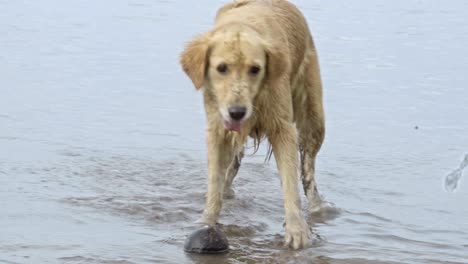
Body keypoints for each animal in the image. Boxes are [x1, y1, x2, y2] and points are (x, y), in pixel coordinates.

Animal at [180, 0, 326, 250]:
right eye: (221, 68)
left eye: (255, 69)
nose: (237, 112)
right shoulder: (217, 128)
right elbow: (214, 181)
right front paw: (206, 220)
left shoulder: (282, 127)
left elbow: (290, 183)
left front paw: (296, 230)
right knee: (231, 168)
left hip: (313, 116)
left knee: (308, 170)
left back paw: (318, 206)